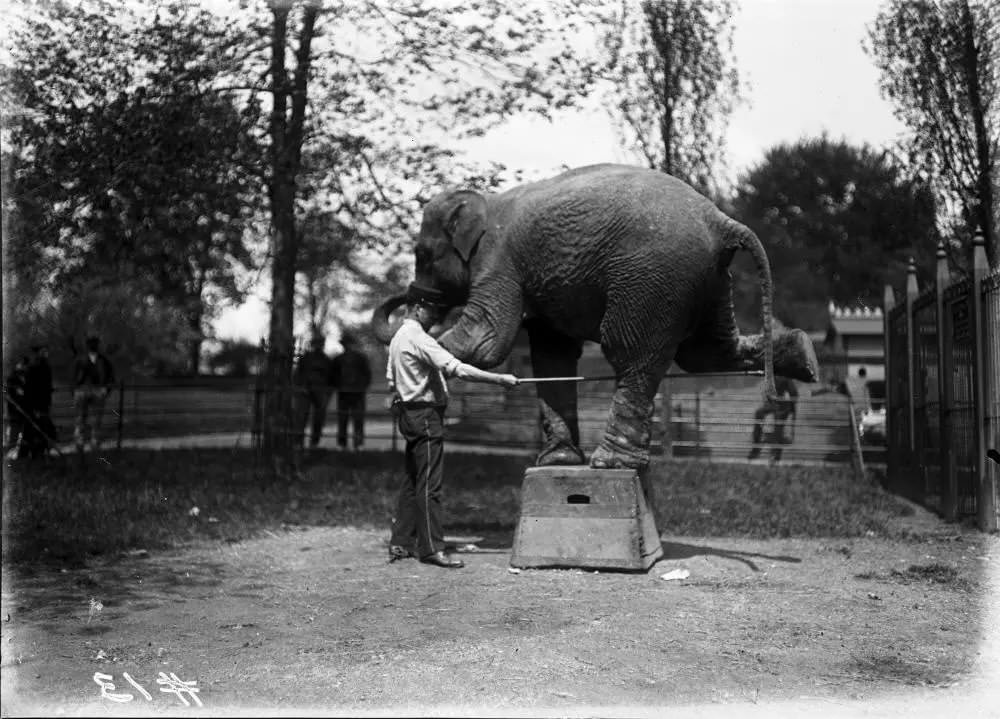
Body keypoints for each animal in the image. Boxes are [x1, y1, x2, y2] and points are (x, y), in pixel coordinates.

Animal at [372, 164, 816, 470]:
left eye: (421, 255)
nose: (415, 300)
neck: (485, 200)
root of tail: (721, 220)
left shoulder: (498, 260)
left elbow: (487, 338)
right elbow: (551, 353)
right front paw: (557, 463)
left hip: (652, 280)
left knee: (629, 352)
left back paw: (611, 463)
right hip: (710, 280)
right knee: (705, 352)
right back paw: (805, 356)